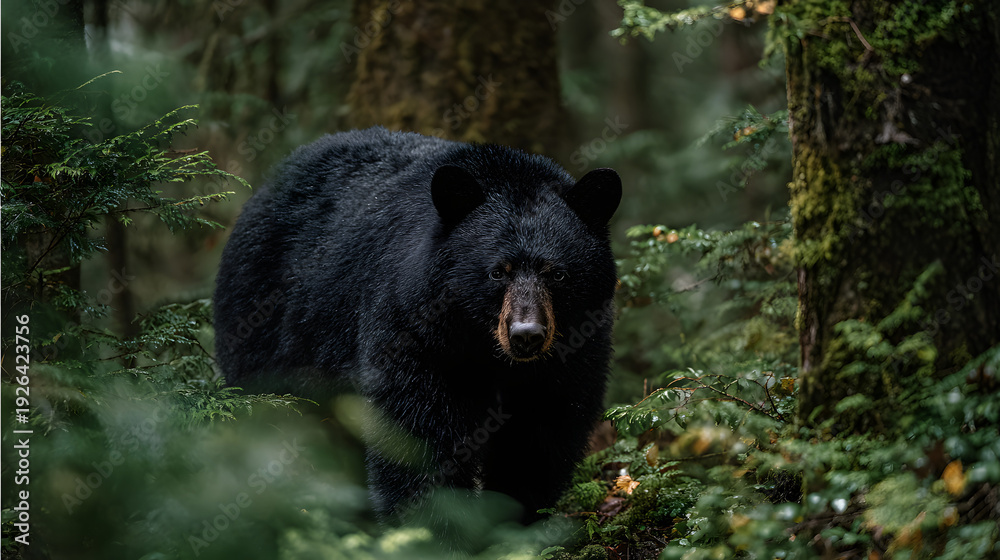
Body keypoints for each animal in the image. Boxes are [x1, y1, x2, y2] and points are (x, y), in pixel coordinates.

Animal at [213, 126, 621, 526]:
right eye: (497, 271)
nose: (526, 336)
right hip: (267, 327)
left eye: (557, 273)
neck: (484, 348)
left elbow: (540, 436)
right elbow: (419, 431)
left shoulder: (573, 350)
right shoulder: (415, 330)